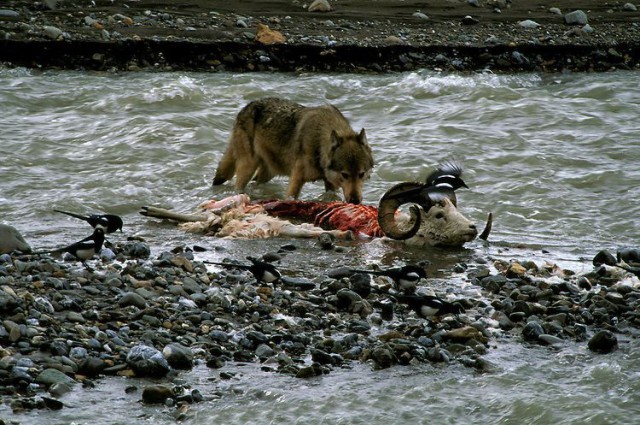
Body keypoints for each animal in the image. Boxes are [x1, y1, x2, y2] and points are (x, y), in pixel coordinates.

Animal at [212, 97, 374, 204]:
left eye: (361, 174)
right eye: (345, 175)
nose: (355, 201)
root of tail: (244, 108)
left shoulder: (331, 184)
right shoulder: (296, 180)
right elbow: (291, 197)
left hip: (268, 172)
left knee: (255, 182)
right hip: (248, 167)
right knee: (238, 186)